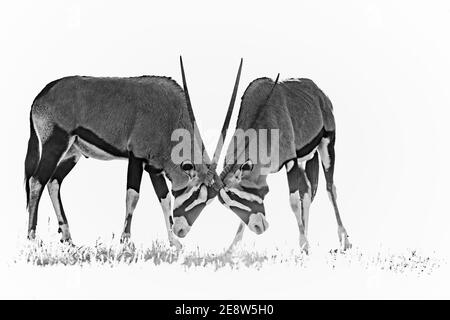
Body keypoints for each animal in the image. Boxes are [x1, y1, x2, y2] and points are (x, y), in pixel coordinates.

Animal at [23, 57, 243, 246]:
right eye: (195, 193)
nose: (182, 231)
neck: (169, 116)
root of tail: (41, 96)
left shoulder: (154, 168)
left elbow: (165, 199)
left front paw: (173, 242)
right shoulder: (136, 157)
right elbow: (132, 196)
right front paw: (126, 241)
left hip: (72, 153)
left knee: (53, 182)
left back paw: (67, 237)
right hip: (55, 143)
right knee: (37, 181)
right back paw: (31, 238)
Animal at [218, 76, 352, 251]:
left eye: (236, 195)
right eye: (229, 203)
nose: (258, 227)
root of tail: (318, 92)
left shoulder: (291, 161)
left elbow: (294, 202)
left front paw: (304, 245)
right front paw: (231, 248)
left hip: (327, 144)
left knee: (330, 189)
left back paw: (344, 240)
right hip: (305, 158)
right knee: (307, 192)